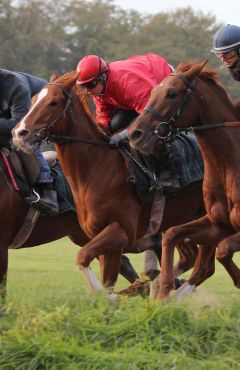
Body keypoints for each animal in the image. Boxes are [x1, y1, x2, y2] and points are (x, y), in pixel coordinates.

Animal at [11, 70, 208, 294]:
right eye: (34, 99)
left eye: (53, 102)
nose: (19, 133)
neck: (97, 167)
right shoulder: (105, 239)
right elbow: (107, 279)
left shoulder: (121, 232)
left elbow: (86, 261)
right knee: (190, 257)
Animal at [129, 60, 240, 298]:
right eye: (153, 91)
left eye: (172, 93)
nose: (135, 134)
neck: (229, 164)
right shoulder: (219, 224)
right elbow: (171, 235)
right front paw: (162, 292)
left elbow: (223, 250)